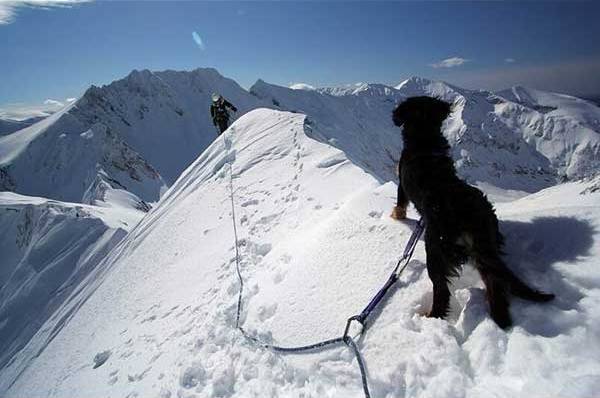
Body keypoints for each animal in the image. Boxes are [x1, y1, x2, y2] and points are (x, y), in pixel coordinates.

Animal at [390, 96, 552, 330]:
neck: (424, 140)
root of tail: (465, 213)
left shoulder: (402, 185)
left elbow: (400, 203)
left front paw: (396, 216)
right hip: (485, 244)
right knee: (494, 280)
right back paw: (500, 319)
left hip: (436, 249)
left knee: (441, 290)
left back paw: (430, 316)